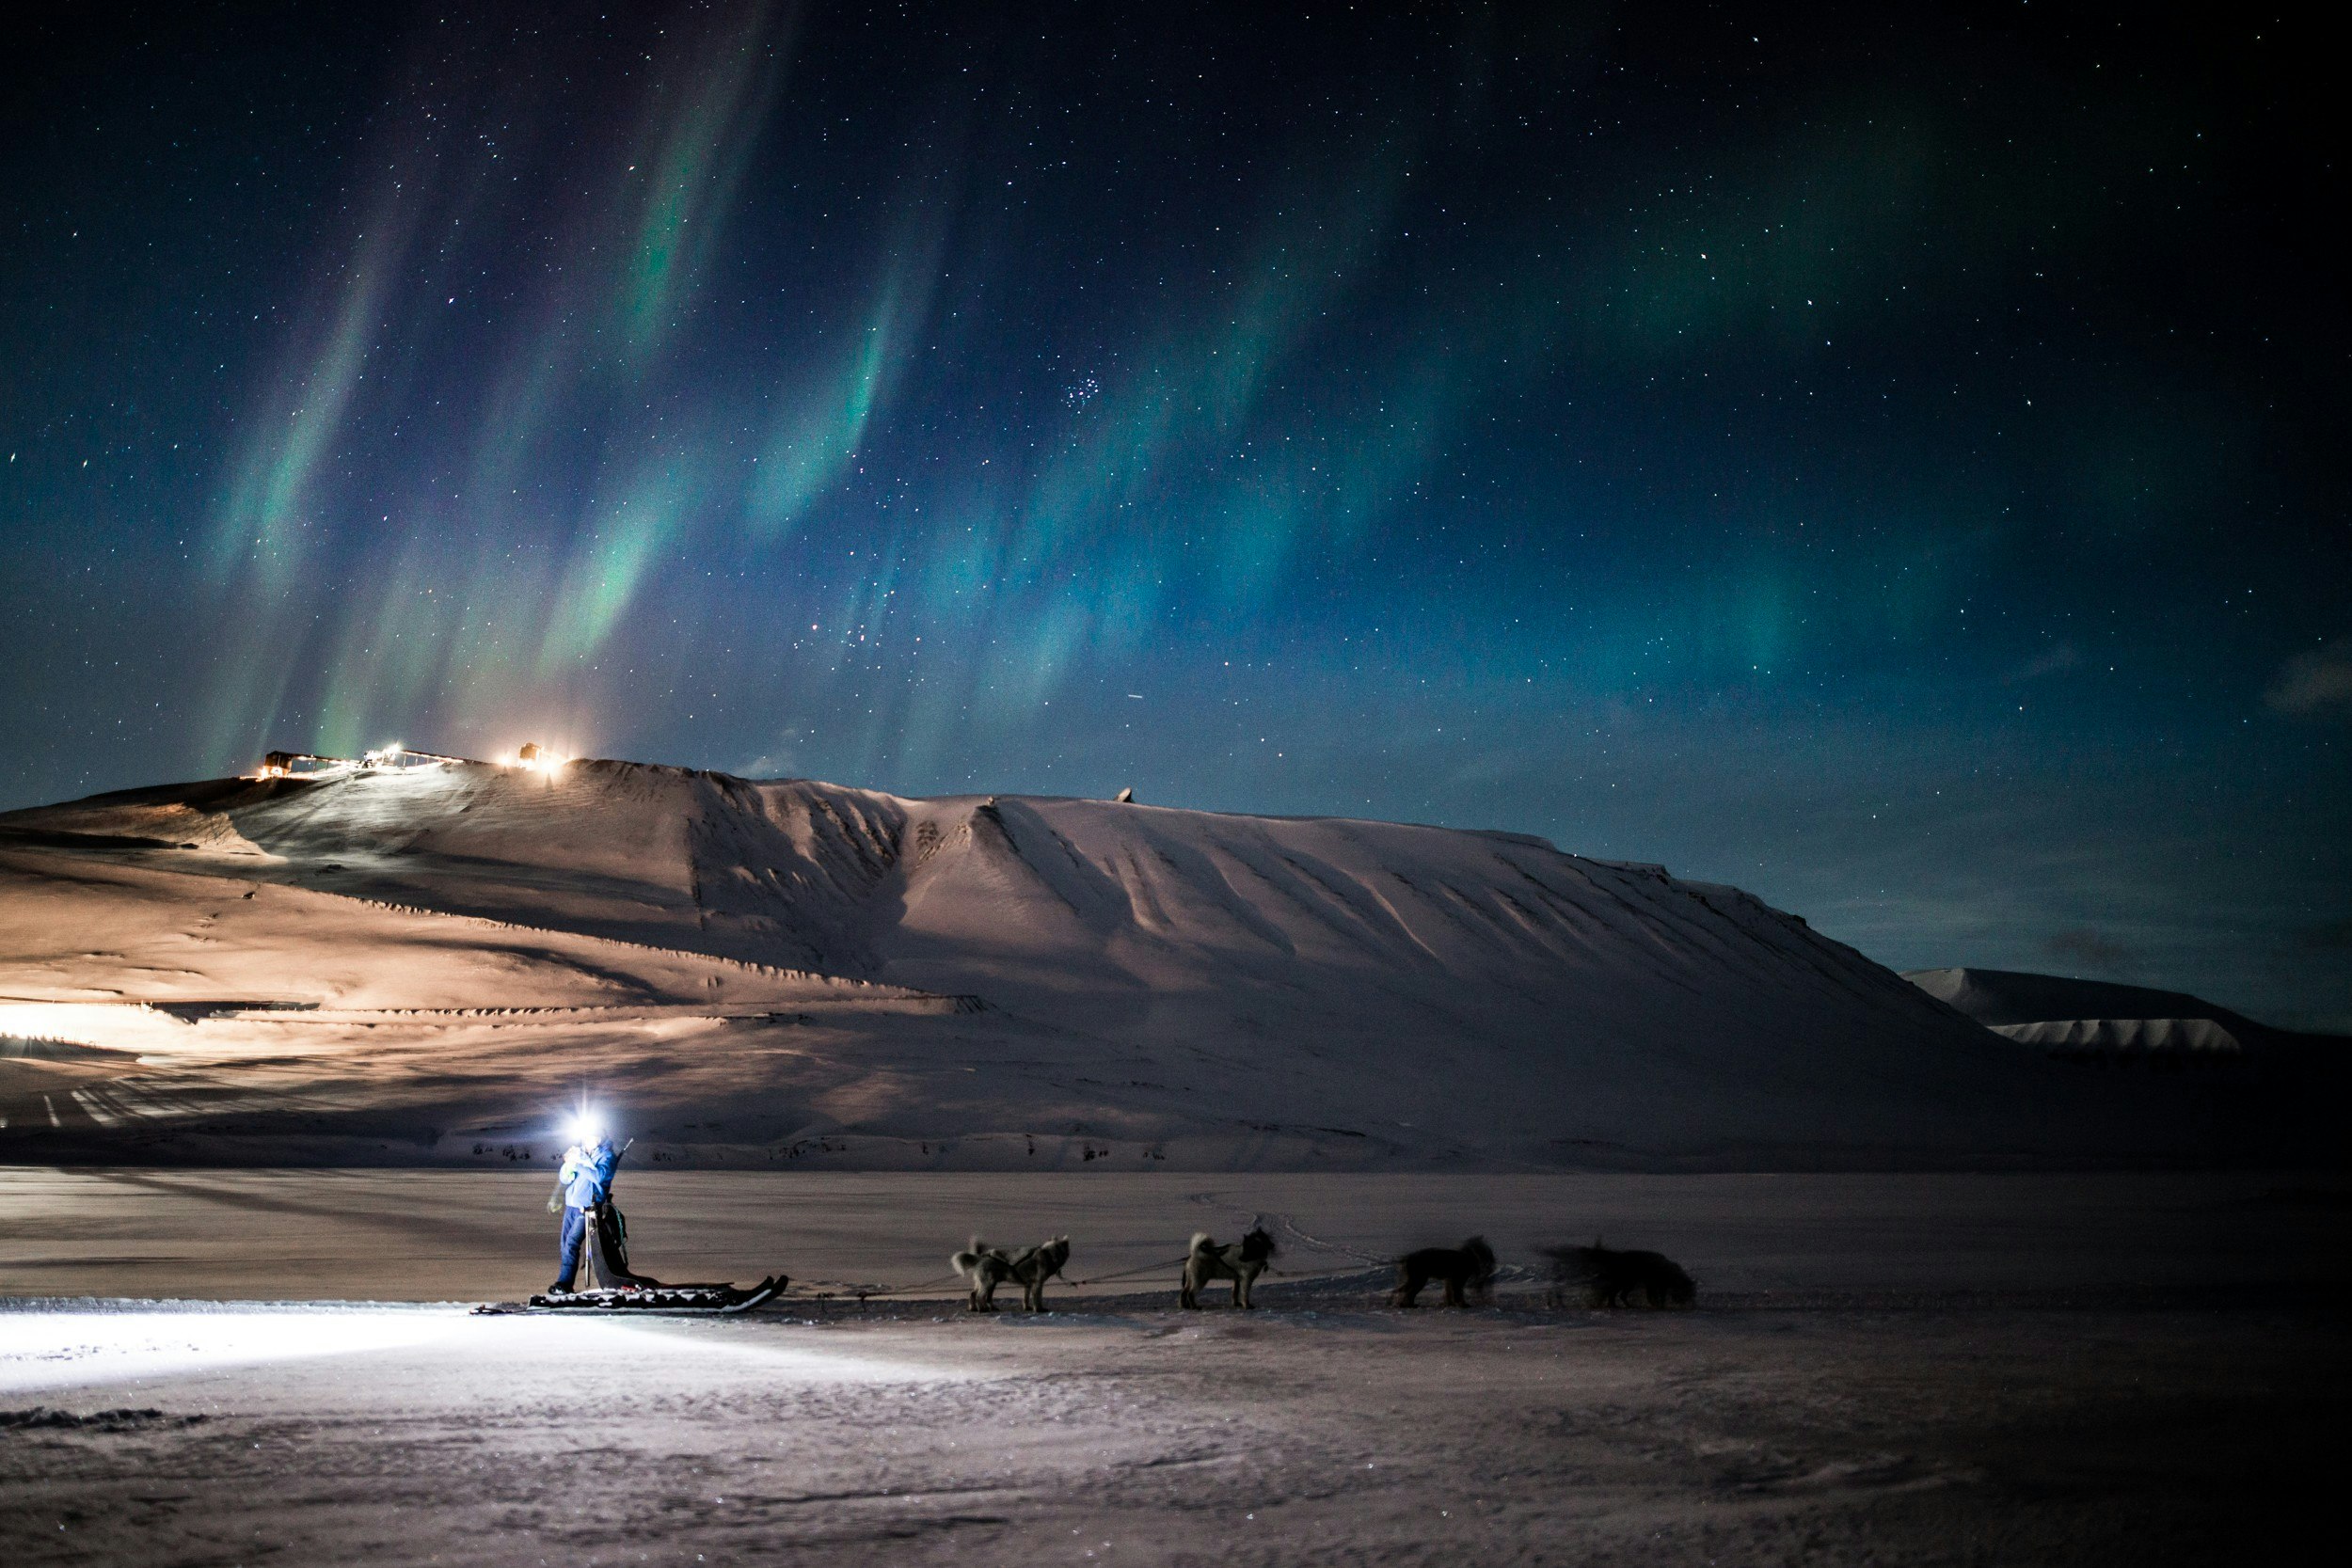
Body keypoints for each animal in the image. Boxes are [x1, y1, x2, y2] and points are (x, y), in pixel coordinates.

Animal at [946, 1241, 1077, 1316]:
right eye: (1055, 1253)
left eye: (1061, 1253)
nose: (1057, 1261)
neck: (1046, 1255)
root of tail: (981, 1257)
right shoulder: (1037, 1284)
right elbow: (1037, 1298)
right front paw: (1039, 1309)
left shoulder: (1028, 1284)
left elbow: (1026, 1298)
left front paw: (1027, 1308)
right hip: (988, 1282)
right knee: (979, 1296)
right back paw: (982, 1309)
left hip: (987, 1283)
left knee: (974, 1294)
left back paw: (974, 1308)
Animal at [1543, 1241, 1693, 1316]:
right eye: (1687, 1292)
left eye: (1692, 1293)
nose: (1690, 1303)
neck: (1671, 1273)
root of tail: (1617, 1257)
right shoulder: (1656, 1283)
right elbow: (1656, 1296)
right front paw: (1658, 1304)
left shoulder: (1656, 1284)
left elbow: (1656, 1295)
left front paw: (1658, 1304)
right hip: (1626, 1281)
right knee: (1617, 1294)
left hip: (1625, 1282)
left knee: (1614, 1295)